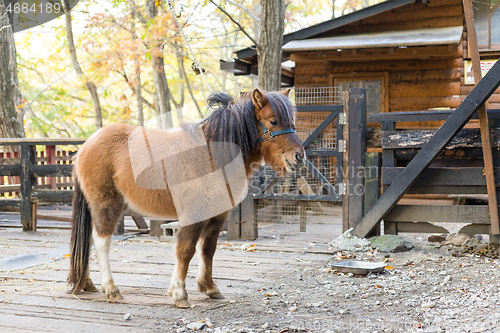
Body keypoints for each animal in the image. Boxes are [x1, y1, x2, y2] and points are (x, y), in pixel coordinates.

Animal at [67, 87, 304, 306]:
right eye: (273, 121)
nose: (299, 156)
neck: (211, 155)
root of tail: (85, 147)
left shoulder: (217, 215)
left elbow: (207, 249)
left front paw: (208, 287)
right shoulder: (193, 214)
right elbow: (185, 250)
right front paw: (180, 293)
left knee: (88, 238)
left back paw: (87, 283)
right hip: (107, 205)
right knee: (101, 241)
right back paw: (111, 288)